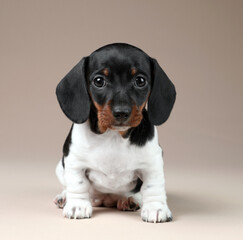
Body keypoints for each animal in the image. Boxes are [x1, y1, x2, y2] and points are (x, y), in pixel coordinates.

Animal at [54, 43, 176, 223]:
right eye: (99, 81)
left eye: (140, 81)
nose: (121, 112)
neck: (112, 136)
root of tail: (106, 199)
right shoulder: (75, 161)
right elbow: (78, 184)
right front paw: (77, 205)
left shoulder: (152, 163)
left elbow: (153, 186)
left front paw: (156, 208)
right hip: (60, 168)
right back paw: (64, 197)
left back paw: (130, 200)